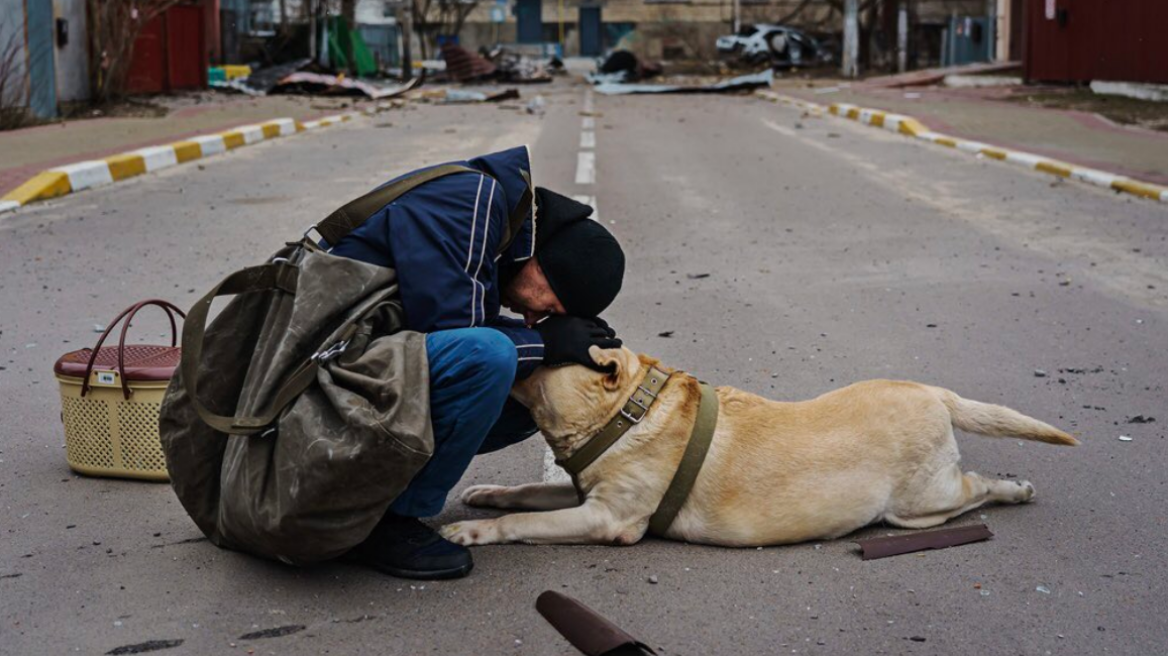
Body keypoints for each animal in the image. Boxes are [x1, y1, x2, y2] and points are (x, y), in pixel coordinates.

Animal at [441, 347, 1079, 546]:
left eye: (546, 351)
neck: (623, 416)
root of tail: (934, 392)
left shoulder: (606, 518)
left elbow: (525, 523)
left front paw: (474, 531)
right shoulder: (582, 494)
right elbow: (526, 493)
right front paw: (487, 493)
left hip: (920, 505)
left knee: (976, 489)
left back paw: (1015, 489)